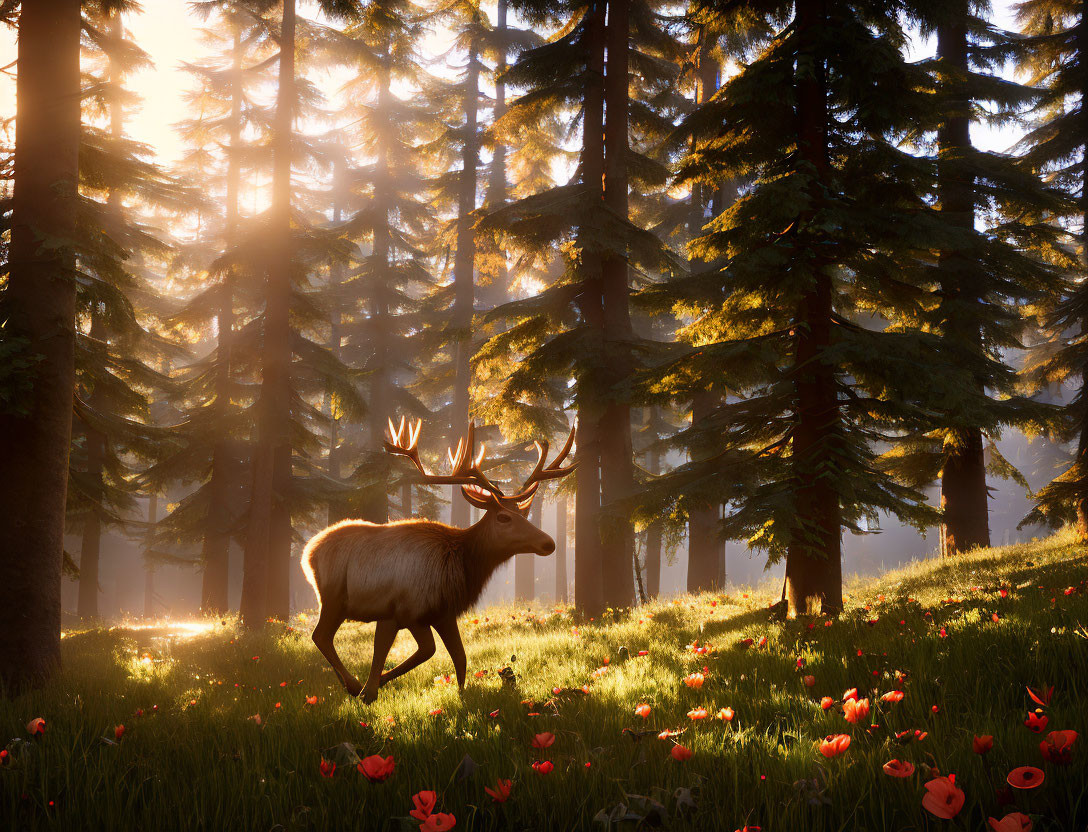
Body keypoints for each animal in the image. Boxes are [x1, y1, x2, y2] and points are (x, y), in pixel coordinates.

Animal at [302, 417, 574, 696]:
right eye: (503, 517)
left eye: (523, 513)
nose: (549, 543)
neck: (462, 566)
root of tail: (308, 551)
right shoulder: (404, 611)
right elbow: (414, 651)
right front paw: (370, 690)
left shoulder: (443, 613)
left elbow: (459, 656)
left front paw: (461, 694)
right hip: (332, 597)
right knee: (320, 635)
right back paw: (353, 684)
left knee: (324, 637)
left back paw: (347, 684)